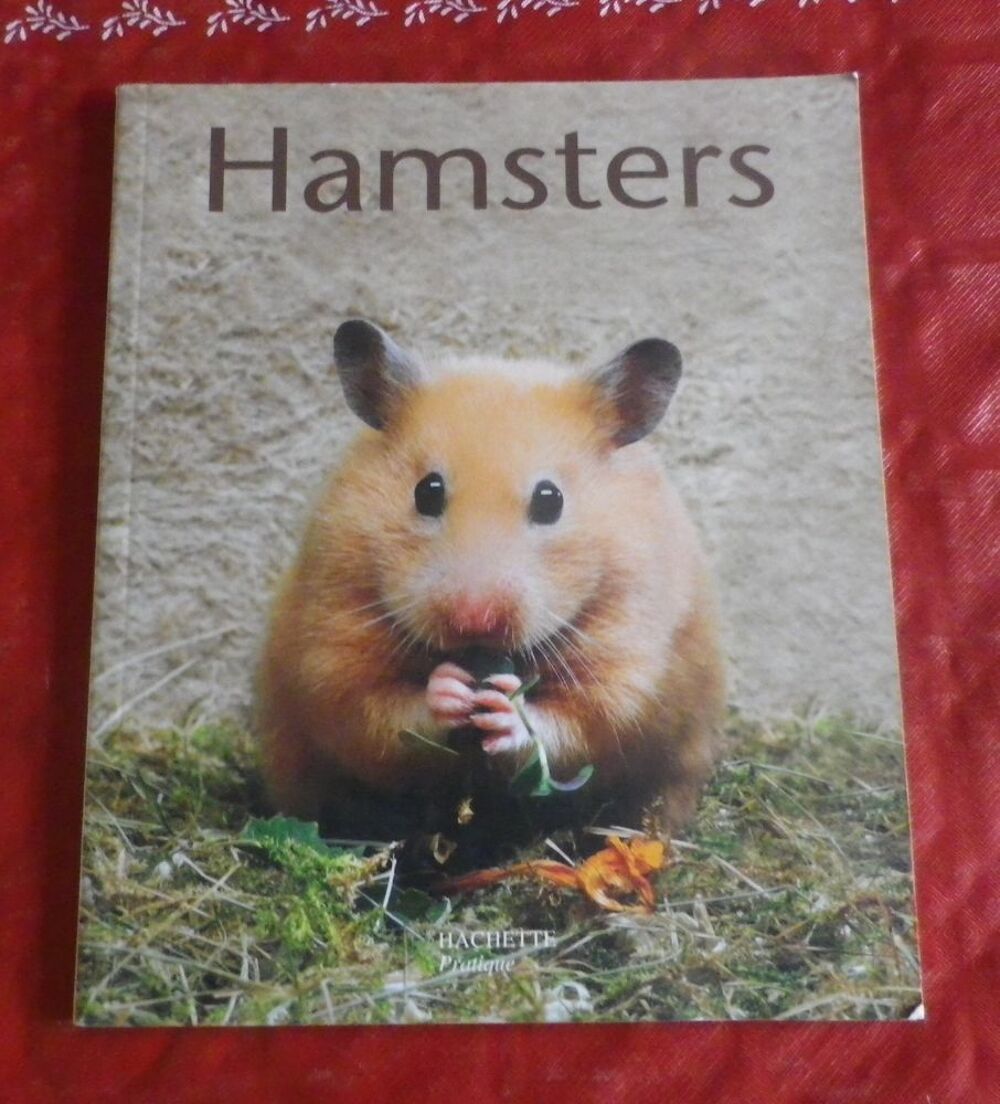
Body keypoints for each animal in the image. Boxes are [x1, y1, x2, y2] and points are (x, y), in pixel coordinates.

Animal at [256, 320, 725, 853]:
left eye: (550, 499)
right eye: (427, 491)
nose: (473, 619)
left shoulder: (628, 660)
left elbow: (579, 721)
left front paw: (504, 704)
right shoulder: (333, 645)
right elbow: (380, 710)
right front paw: (451, 689)